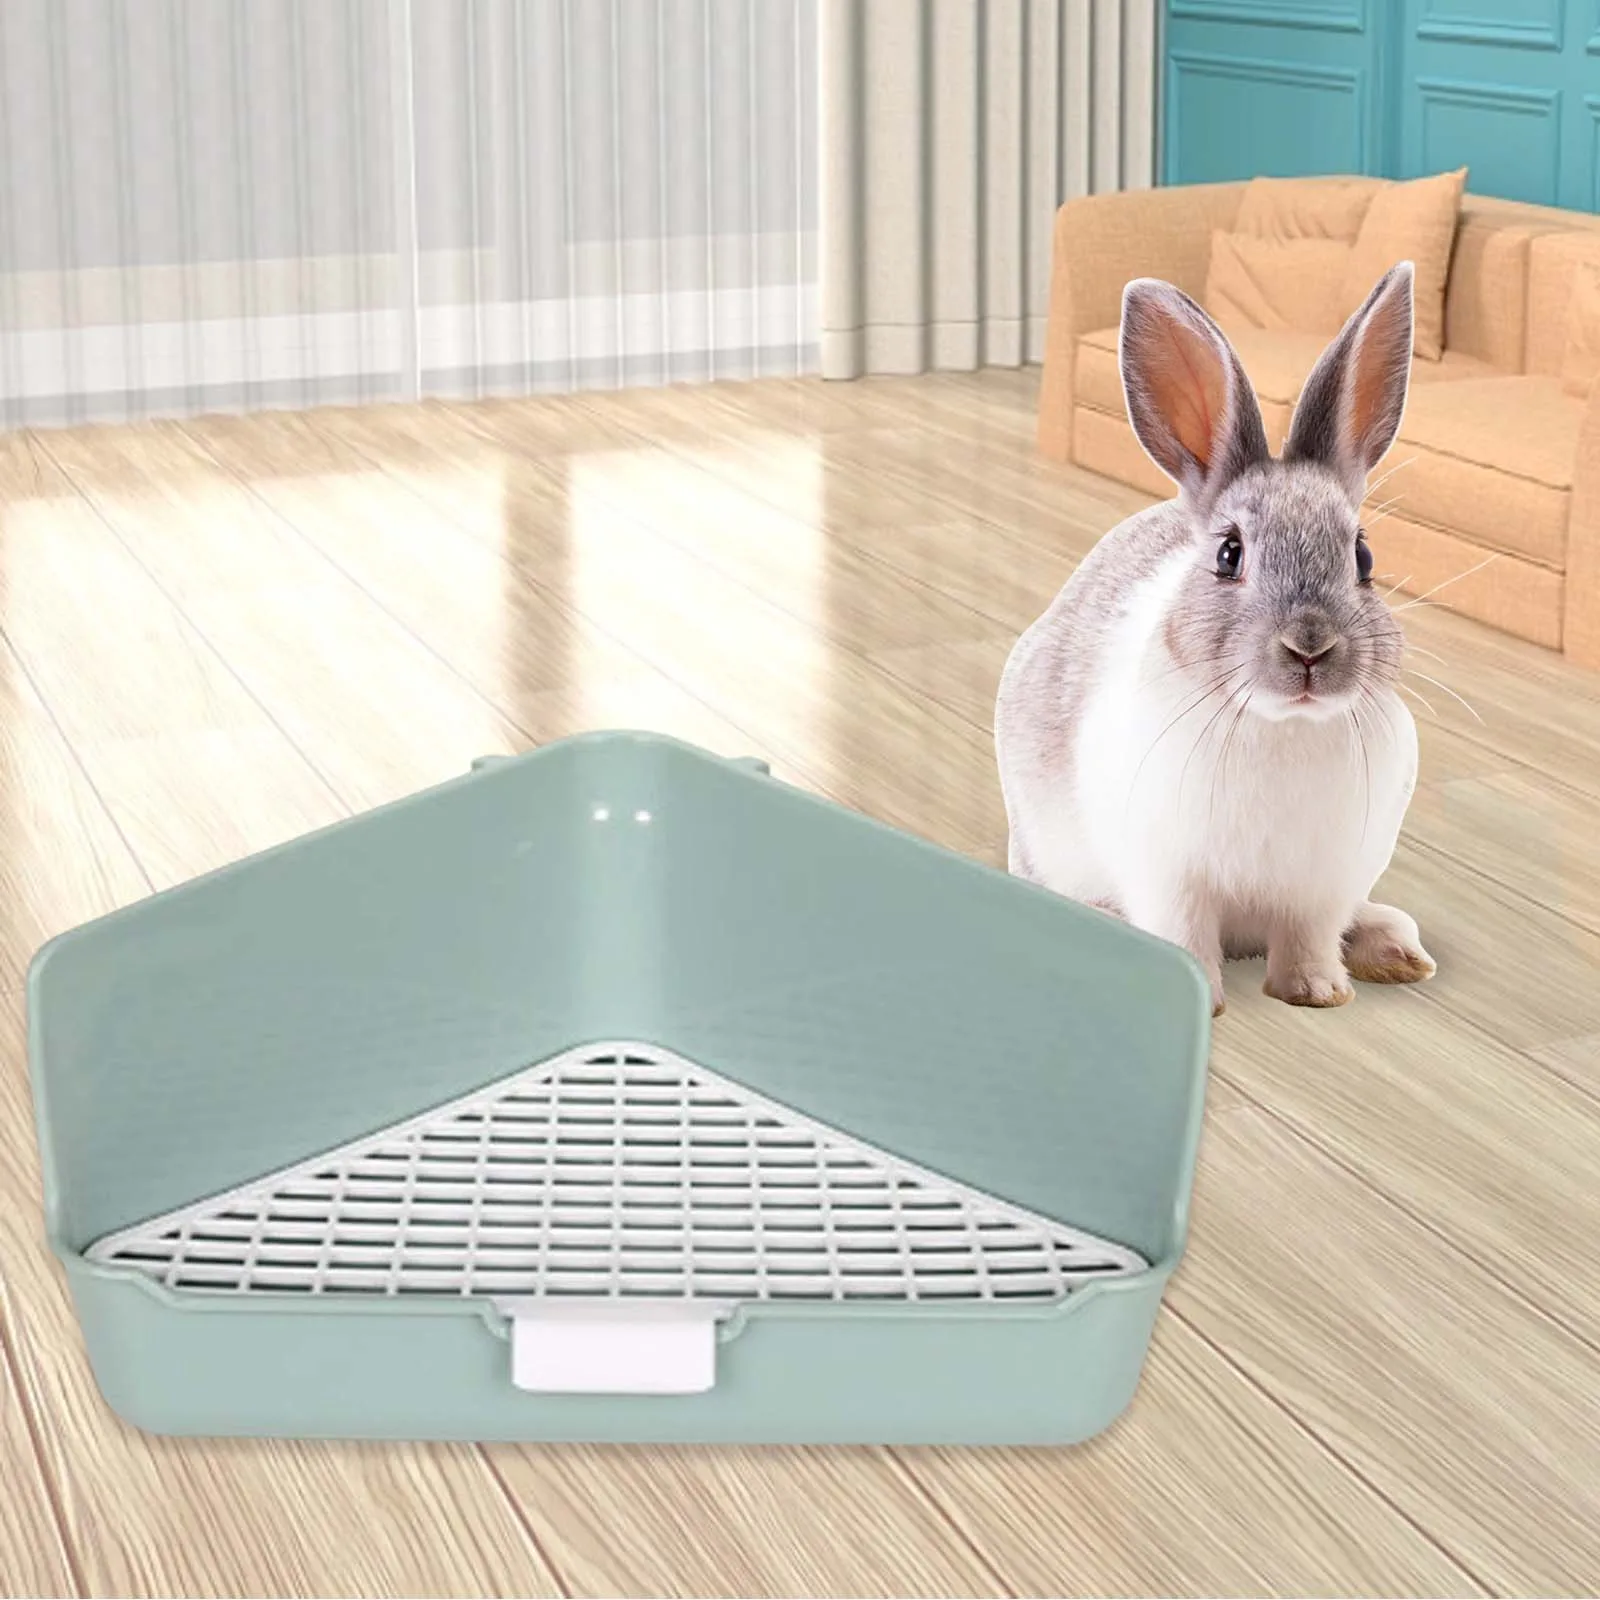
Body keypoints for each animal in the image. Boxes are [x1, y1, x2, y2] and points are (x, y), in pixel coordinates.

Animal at [994, 262, 1435, 1017]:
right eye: (1230, 555)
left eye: (1363, 556)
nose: (1310, 647)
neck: (1283, 725)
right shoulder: (1169, 874)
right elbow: (1185, 934)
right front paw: (1207, 1002)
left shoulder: (1323, 885)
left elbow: (1310, 937)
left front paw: (1317, 994)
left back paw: (1396, 953)